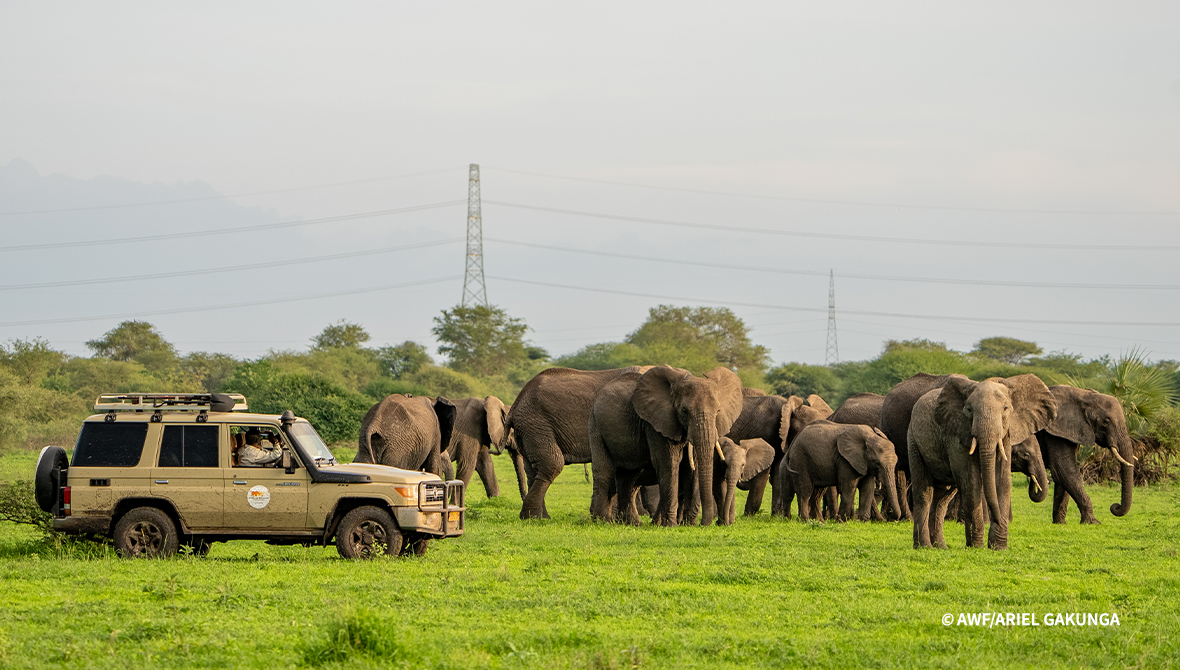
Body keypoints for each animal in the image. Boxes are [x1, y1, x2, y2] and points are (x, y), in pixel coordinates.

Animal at [500, 365, 651, 519]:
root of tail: (514, 405)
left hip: (528, 429)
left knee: (532, 470)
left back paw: (539, 517)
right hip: (536, 425)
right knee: (552, 463)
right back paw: (535, 517)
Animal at [587, 363, 741, 526]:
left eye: (718, 411)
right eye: (684, 411)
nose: (703, 524)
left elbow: (691, 467)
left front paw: (687, 524)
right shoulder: (656, 423)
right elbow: (668, 462)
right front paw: (671, 525)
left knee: (628, 476)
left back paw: (632, 523)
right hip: (595, 425)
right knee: (604, 471)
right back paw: (602, 521)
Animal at [906, 372, 1057, 549]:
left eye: (1005, 409)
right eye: (969, 410)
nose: (997, 519)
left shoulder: (1006, 435)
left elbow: (1002, 480)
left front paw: (998, 548)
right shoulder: (956, 434)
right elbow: (971, 482)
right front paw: (976, 546)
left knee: (943, 496)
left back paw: (941, 547)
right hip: (913, 441)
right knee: (924, 493)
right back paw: (924, 547)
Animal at [1038, 386, 1137, 523]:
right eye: (1106, 422)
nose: (1115, 506)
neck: (1083, 396)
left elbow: (1062, 476)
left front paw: (1060, 523)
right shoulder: (1055, 431)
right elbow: (1064, 472)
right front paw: (1093, 522)